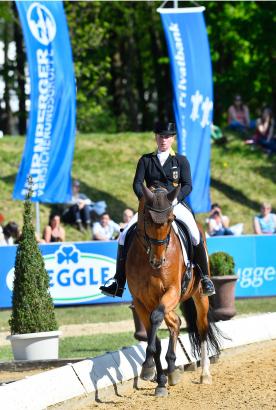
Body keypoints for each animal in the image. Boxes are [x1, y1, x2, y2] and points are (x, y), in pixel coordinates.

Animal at [126, 186, 221, 398]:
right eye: (147, 219)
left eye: (170, 219)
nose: (157, 261)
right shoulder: (140, 301)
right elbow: (155, 338)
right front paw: (156, 377)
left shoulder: (172, 291)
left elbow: (156, 319)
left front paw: (148, 367)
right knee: (175, 322)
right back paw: (170, 371)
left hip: (199, 296)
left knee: (201, 328)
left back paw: (205, 374)